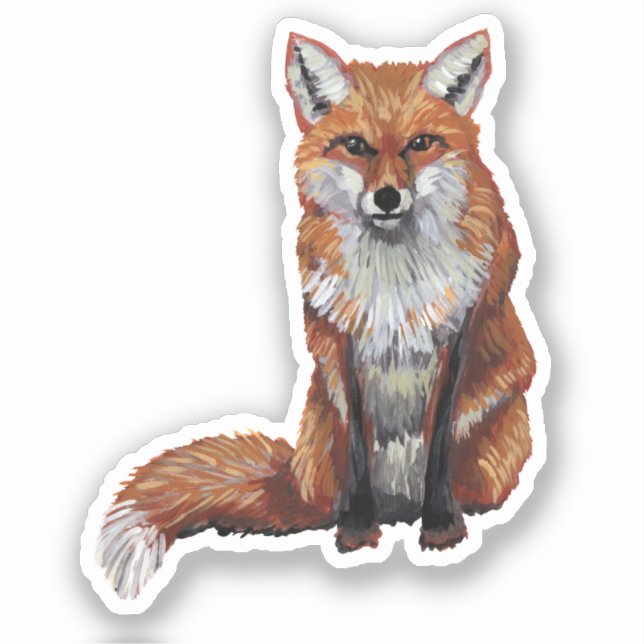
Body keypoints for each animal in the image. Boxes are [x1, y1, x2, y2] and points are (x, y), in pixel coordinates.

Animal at [83, 17, 544, 608]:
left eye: (420, 144)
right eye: (356, 146)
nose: (389, 198)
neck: (393, 276)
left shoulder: (457, 336)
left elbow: (440, 441)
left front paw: (442, 528)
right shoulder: (341, 340)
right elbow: (358, 453)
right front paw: (357, 531)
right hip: (322, 430)